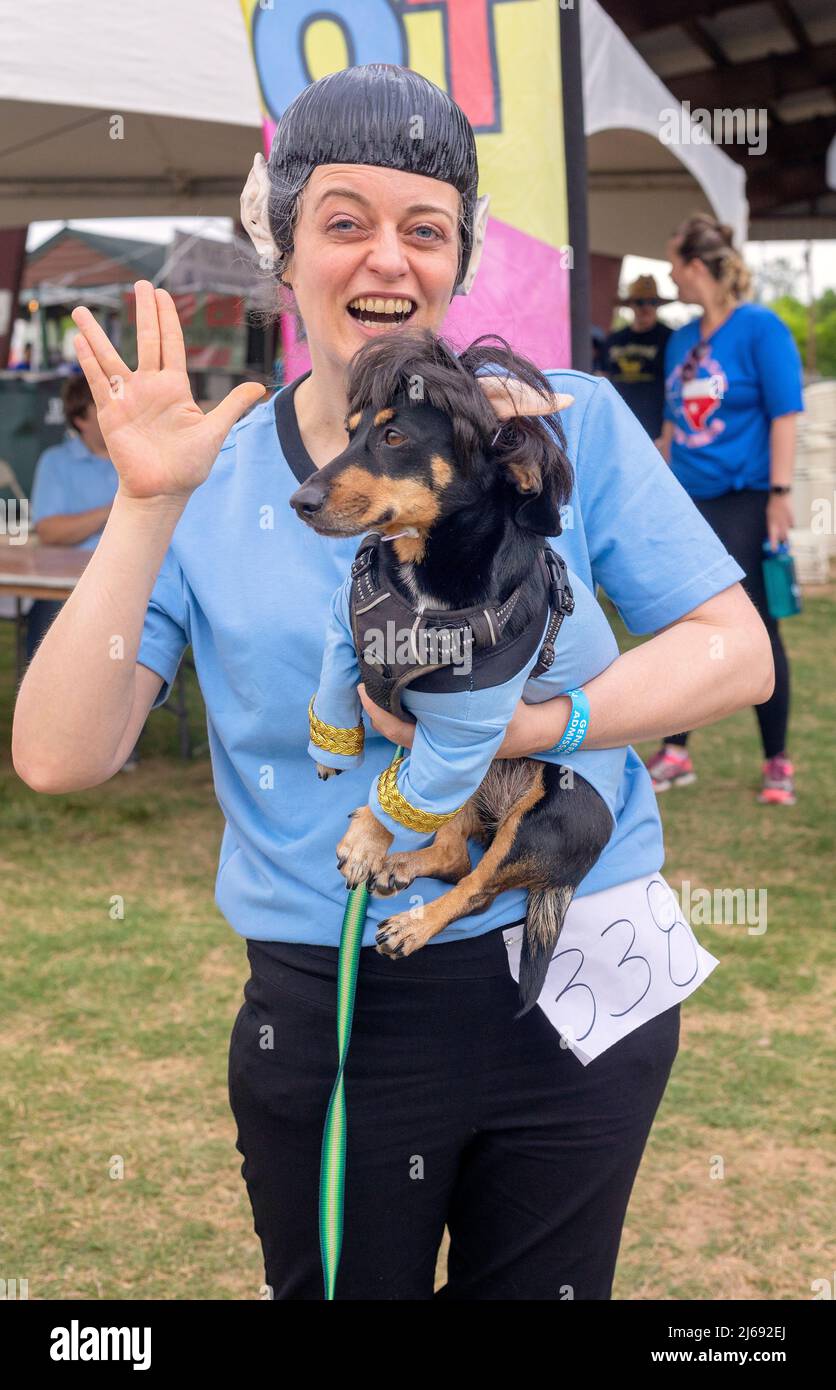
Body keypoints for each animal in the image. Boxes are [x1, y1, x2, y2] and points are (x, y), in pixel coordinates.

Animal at [287, 330, 620, 1017]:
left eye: (393, 437)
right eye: (350, 432)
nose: (299, 502)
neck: (422, 581)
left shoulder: (465, 729)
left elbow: (398, 795)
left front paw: (367, 840)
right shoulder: (343, 628)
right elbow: (334, 690)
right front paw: (333, 750)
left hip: (547, 813)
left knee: (479, 883)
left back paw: (414, 924)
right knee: (451, 851)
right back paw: (401, 868)